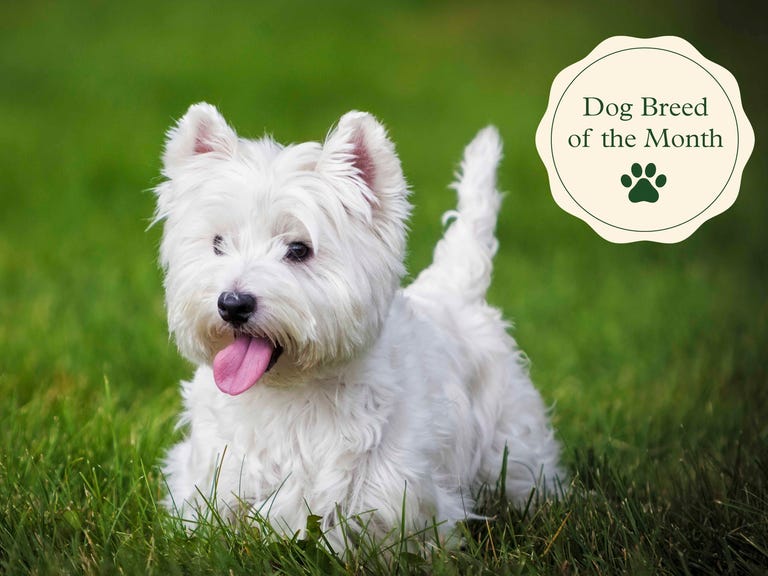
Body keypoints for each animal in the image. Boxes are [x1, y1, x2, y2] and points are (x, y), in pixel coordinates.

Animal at [154, 103, 564, 548]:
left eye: (298, 249)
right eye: (218, 243)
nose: (232, 304)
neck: (288, 394)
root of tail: (455, 289)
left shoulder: (396, 494)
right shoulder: (216, 477)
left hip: (511, 438)